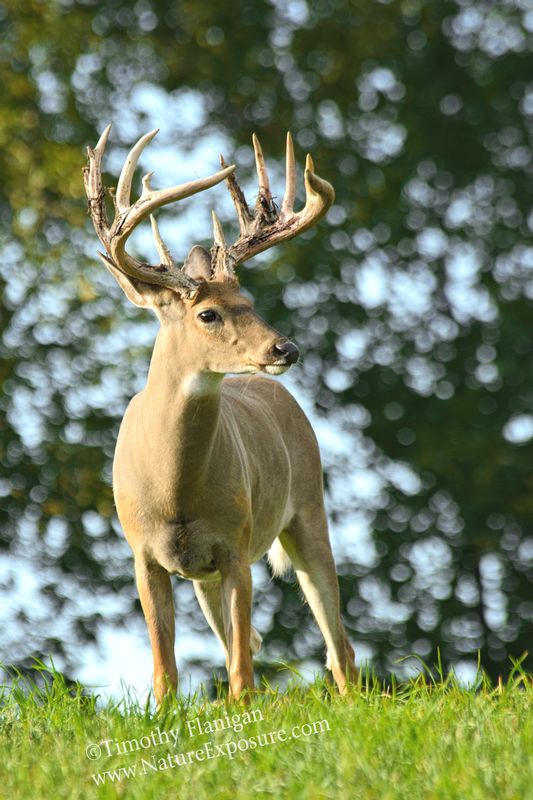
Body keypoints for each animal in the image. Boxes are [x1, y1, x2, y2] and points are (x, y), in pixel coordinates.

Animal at [83, 123, 358, 705]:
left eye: (249, 301)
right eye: (208, 313)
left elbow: (242, 677)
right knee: (249, 641)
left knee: (336, 646)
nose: (286, 348)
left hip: (307, 510)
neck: (175, 491)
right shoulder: (144, 554)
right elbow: (166, 669)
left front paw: (242, 708)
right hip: (205, 577)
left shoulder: (236, 545)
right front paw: (165, 715)